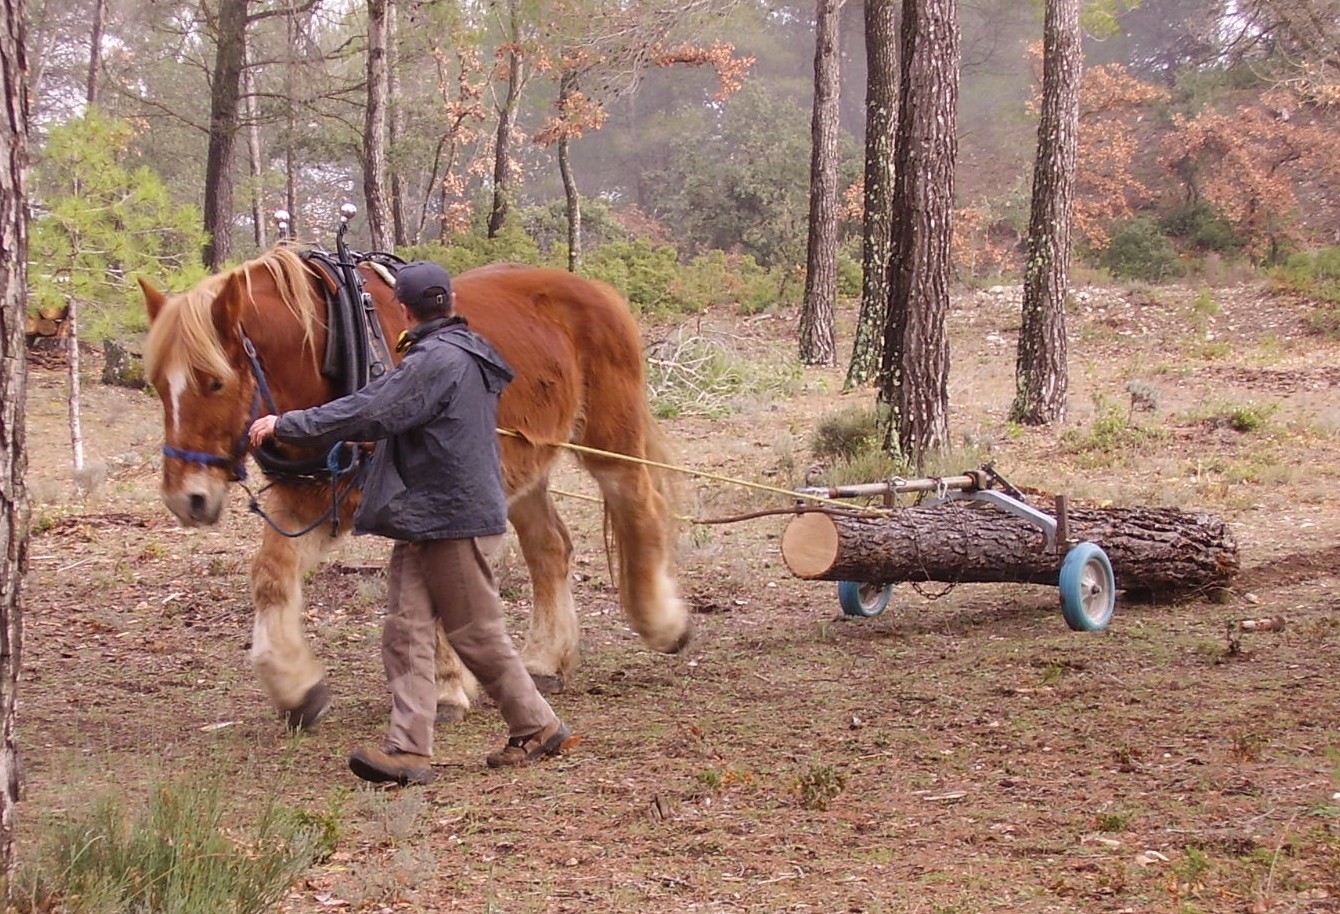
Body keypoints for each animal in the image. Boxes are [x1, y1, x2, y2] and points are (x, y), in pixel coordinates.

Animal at [138, 245, 691, 729]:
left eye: (215, 382)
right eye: (159, 385)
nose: (186, 499)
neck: (336, 346)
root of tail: (594, 288)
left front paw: (443, 689)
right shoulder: (313, 495)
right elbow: (272, 576)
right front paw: (295, 687)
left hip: (608, 438)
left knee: (639, 504)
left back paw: (663, 623)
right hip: (512, 467)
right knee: (549, 546)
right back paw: (544, 661)